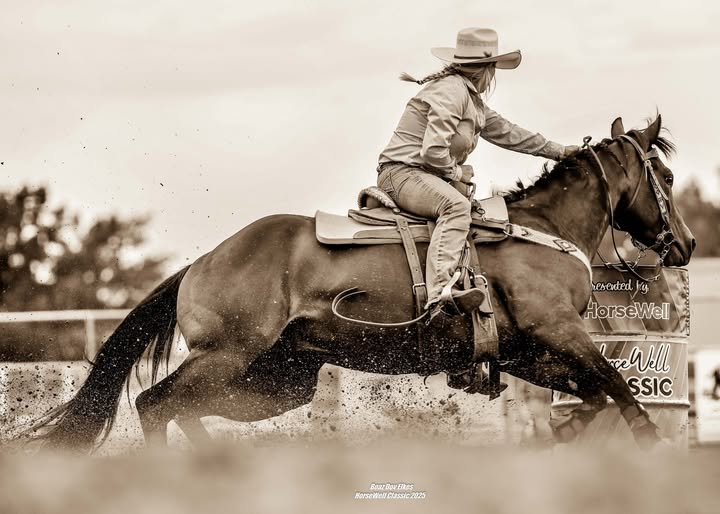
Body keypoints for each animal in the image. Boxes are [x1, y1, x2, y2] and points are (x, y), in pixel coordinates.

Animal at [31, 114, 695, 452]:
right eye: (662, 174)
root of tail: (202, 261)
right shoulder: (556, 330)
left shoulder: (527, 351)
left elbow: (595, 395)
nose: (685, 244)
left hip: (281, 377)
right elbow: (620, 388)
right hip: (229, 354)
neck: (545, 230)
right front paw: (651, 446)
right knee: (153, 402)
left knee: (181, 407)